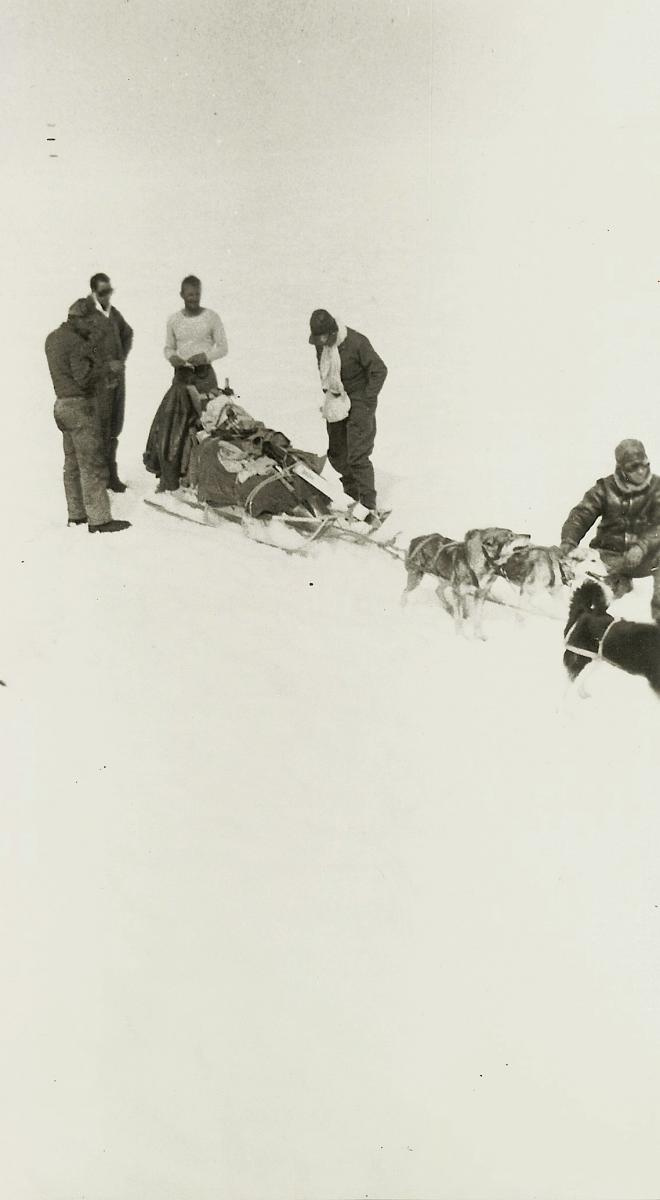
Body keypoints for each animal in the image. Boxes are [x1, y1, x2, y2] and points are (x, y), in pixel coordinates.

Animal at [403, 528, 532, 638]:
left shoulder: (480, 594)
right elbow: (459, 620)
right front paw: (461, 637)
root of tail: (417, 539)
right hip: (416, 578)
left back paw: (449, 608)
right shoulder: (458, 593)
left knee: (438, 590)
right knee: (405, 592)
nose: (529, 535)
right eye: (511, 536)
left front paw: (479, 636)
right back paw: (402, 607)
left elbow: (477, 618)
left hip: (447, 581)